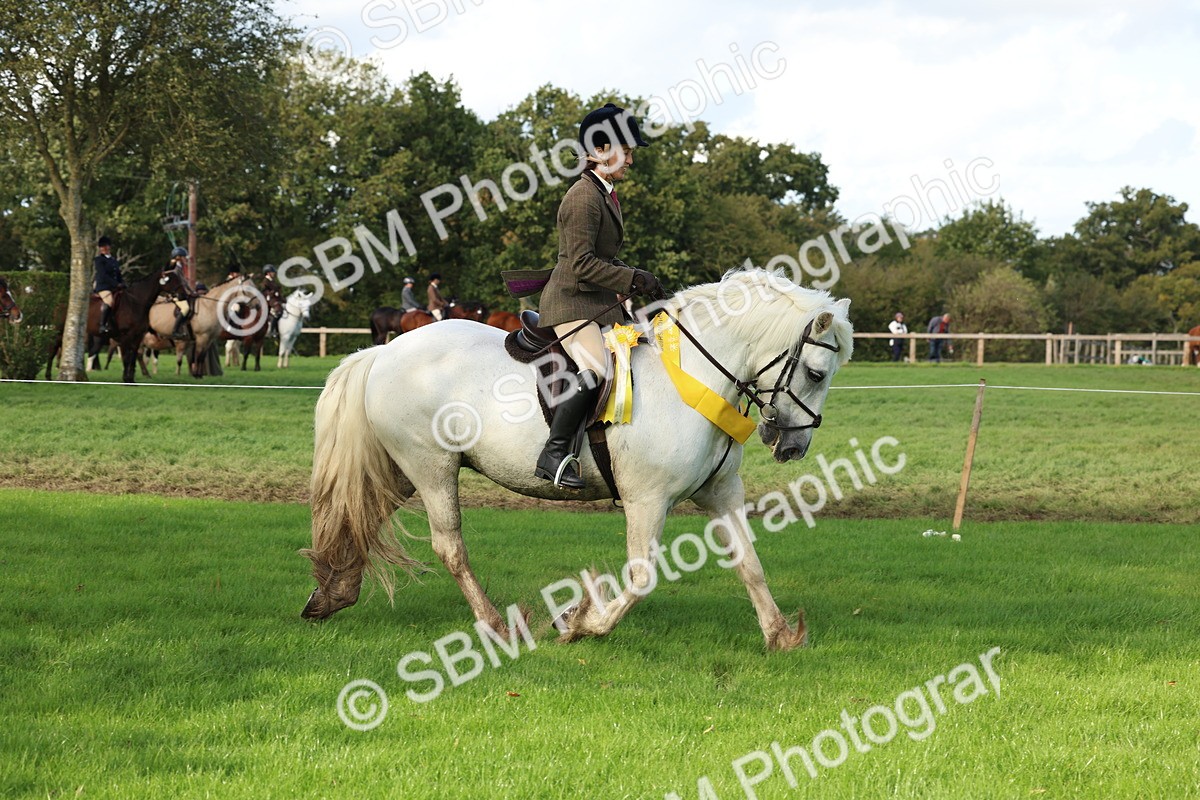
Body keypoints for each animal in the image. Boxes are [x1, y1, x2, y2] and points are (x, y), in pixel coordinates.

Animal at [300, 269, 854, 650]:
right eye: (816, 372)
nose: (792, 446)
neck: (692, 375)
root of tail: (386, 350)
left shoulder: (720, 492)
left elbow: (749, 563)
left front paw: (780, 634)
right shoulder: (648, 499)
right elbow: (641, 579)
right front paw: (581, 623)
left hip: (402, 469)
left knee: (362, 517)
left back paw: (332, 594)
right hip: (430, 466)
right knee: (448, 546)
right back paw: (496, 625)